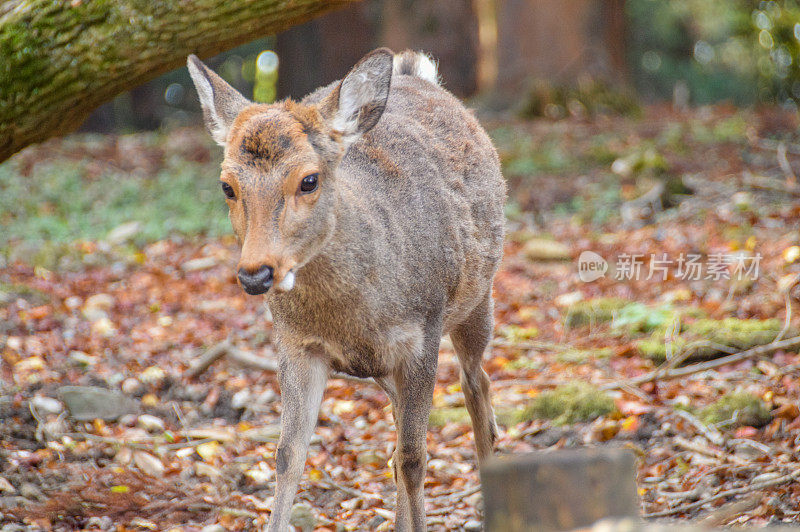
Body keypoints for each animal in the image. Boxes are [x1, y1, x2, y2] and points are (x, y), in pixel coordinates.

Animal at [188, 47, 506, 528]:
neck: (353, 316)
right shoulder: (296, 345)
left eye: (309, 180)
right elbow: (288, 455)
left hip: (476, 300)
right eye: (227, 185)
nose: (255, 274)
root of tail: (416, 74)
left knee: (477, 387)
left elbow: (415, 457)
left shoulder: (423, 334)